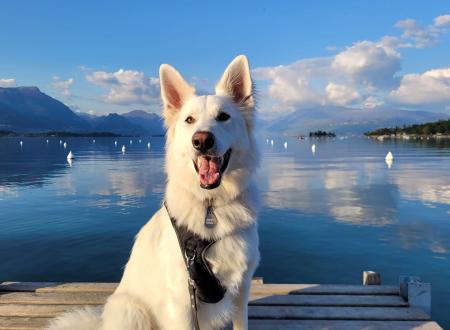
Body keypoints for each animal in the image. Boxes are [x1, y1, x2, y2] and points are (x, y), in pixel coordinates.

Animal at [47, 55, 260, 328]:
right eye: (189, 120)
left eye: (223, 117)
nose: (201, 140)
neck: (210, 206)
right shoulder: (182, 300)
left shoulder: (241, 290)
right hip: (132, 311)